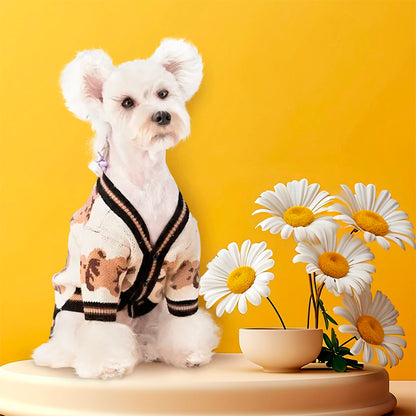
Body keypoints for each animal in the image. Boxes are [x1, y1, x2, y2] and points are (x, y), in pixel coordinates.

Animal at [32, 39, 219, 380]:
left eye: (163, 93)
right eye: (128, 102)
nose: (162, 115)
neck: (146, 180)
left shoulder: (184, 267)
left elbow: (184, 318)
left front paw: (191, 353)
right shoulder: (102, 268)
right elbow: (101, 330)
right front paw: (109, 365)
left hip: (154, 309)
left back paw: (149, 349)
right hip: (72, 305)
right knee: (66, 340)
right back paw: (58, 355)